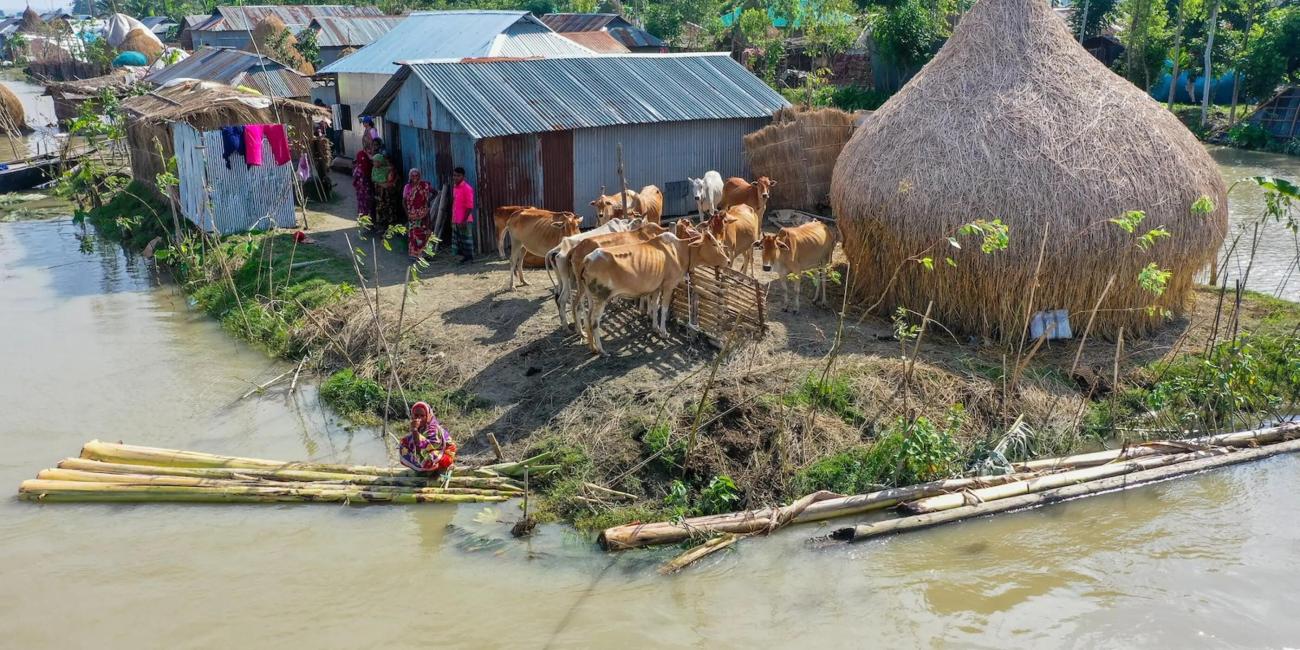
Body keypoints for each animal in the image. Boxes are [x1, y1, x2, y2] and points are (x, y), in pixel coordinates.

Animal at [577, 231, 733, 356]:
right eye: (714, 244)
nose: (728, 261)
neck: (679, 251)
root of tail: (587, 260)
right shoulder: (669, 285)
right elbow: (663, 309)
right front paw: (663, 332)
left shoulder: (657, 288)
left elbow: (654, 305)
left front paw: (655, 328)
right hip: (601, 298)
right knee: (594, 322)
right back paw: (602, 351)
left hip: (591, 297)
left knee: (588, 318)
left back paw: (593, 348)